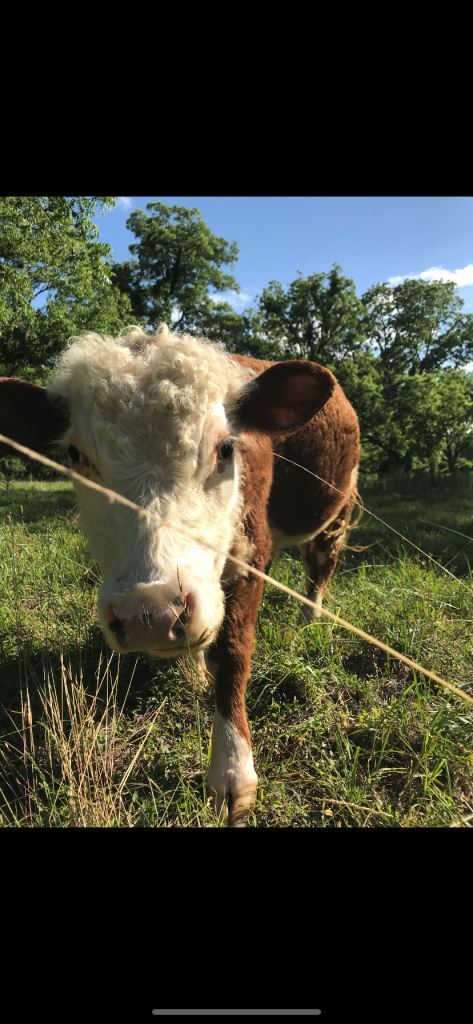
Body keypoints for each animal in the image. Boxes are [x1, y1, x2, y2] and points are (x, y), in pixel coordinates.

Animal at [0, 323, 360, 827]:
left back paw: (312, 620)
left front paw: (232, 771)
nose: (148, 614)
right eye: (75, 454)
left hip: (334, 516)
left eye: (226, 448)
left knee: (320, 569)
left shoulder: (251, 554)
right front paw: (195, 669)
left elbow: (233, 654)